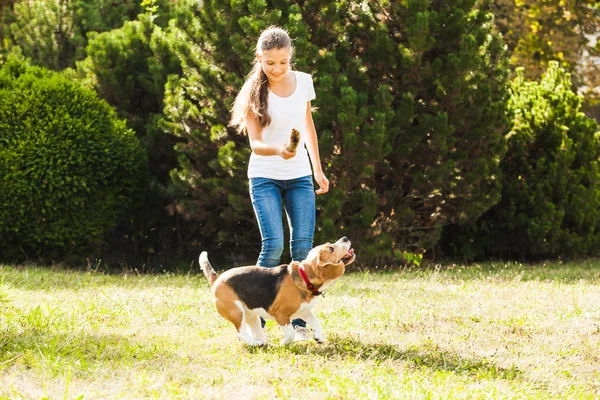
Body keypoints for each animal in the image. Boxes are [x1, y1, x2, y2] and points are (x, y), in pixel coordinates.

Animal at [199, 236, 354, 346]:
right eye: (331, 249)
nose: (345, 238)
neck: (304, 278)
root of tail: (217, 279)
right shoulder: (281, 315)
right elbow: (290, 332)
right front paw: (284, 343)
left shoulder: (304, 311)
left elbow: (316, 323)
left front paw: (319, 337)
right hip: (236, 312)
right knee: (241, 334)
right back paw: (255, 343)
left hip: (251, 315)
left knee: (254, 332)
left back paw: (261, 343)